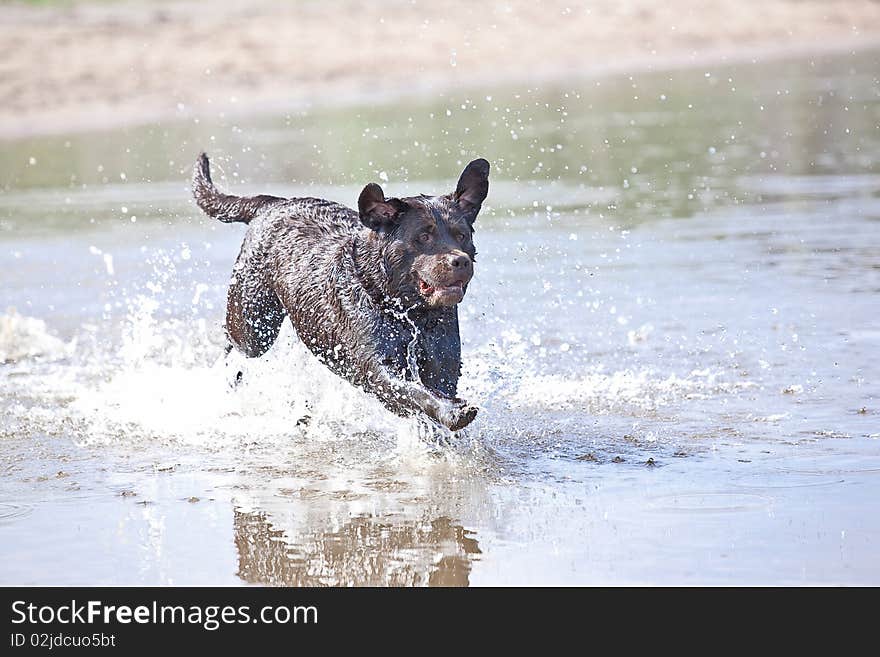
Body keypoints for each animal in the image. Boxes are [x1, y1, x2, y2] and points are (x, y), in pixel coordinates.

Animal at [192, 152, 488, 430]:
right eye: (424, 237)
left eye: (462, 235)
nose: (460, 261)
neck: (408, 312)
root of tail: (273, 203)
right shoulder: (379, 369)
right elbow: (417, 393)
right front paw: (454, 411)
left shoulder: (443, 364)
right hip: (254, 323)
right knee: (235, 346)